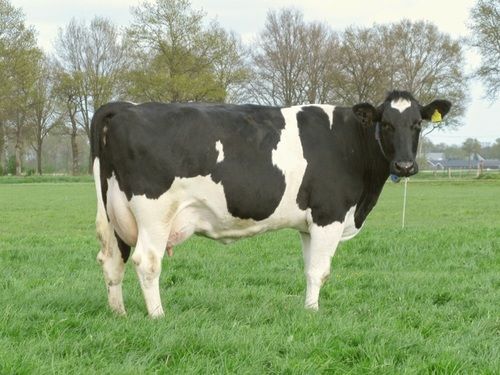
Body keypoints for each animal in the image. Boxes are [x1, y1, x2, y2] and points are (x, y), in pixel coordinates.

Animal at [91, 91, 454, 318]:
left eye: (417, 124)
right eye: (387, 124)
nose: (405, 166)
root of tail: (125, 106)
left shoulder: (309, 225)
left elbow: (309, 269)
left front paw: (307, 310)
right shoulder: (329, 215)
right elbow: (321, 271)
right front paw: (314, 313)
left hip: (114, 213)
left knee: (112, 260)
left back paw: (119, 313)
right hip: (154, 214)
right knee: (146, 261)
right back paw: (158, 315)